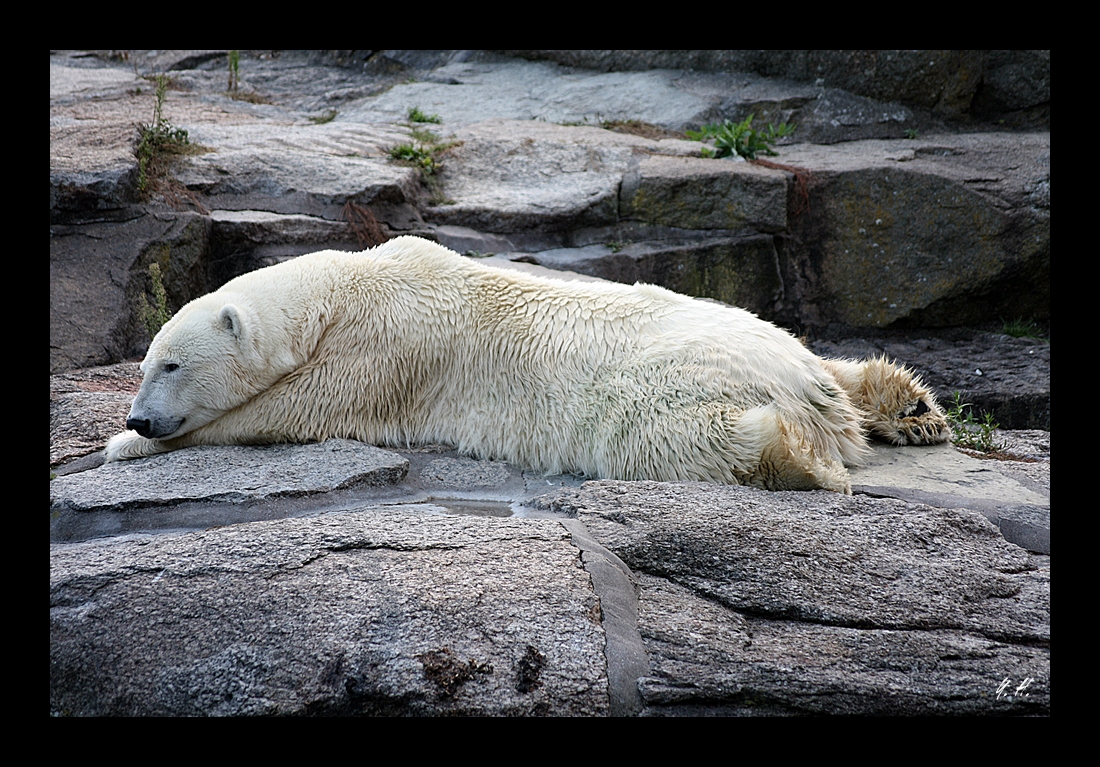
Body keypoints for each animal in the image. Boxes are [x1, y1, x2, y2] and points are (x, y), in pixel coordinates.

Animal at [103, 236, 950, 492]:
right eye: (147, 360)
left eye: (168, 364)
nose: (138, 416)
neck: (346, 288)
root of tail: (799, 384)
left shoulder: (389, 348)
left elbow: (297, 407)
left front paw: (121, 446)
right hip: (775, 338)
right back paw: (910, 409)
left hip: (667, 385)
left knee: (670, 439)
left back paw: (801, 457)